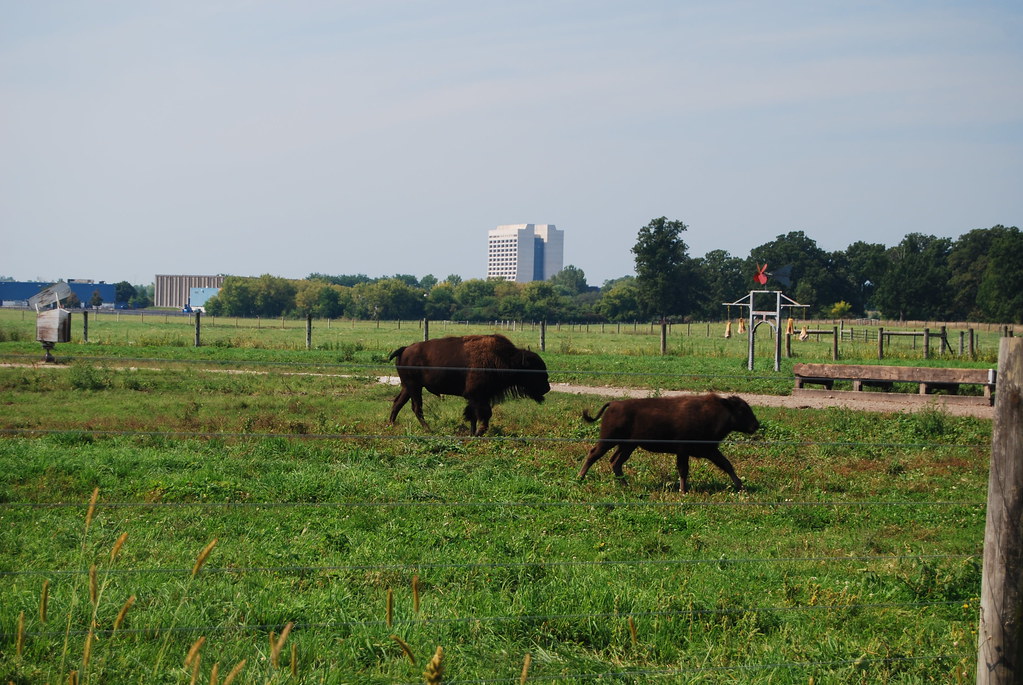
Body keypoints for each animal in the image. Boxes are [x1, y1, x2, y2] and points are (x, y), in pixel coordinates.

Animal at [387, 334, 550, 436]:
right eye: (535, 370)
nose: (547, 387)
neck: (505, 359)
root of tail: (405, 349)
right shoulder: (478, 396)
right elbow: (484, 414)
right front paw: (479, 432)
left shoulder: (476, 397)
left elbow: (473, 415)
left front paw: (473, 433)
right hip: (414, 387)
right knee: (416, 408)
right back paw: (428, 430)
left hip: (409, 387)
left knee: (398, 403)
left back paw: (391, 425)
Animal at [577, 394, 760, 493]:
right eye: (742, 410)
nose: (756, 425)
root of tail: (614, 403)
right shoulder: (683, 450)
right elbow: (683, 470)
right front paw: (683, 490)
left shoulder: (710, 450)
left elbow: (727, 464)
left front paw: (741, 486)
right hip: (608, 440)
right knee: (594, 454)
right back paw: (580, 478)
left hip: (628, 446)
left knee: (615, 462)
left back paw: (625, 485)